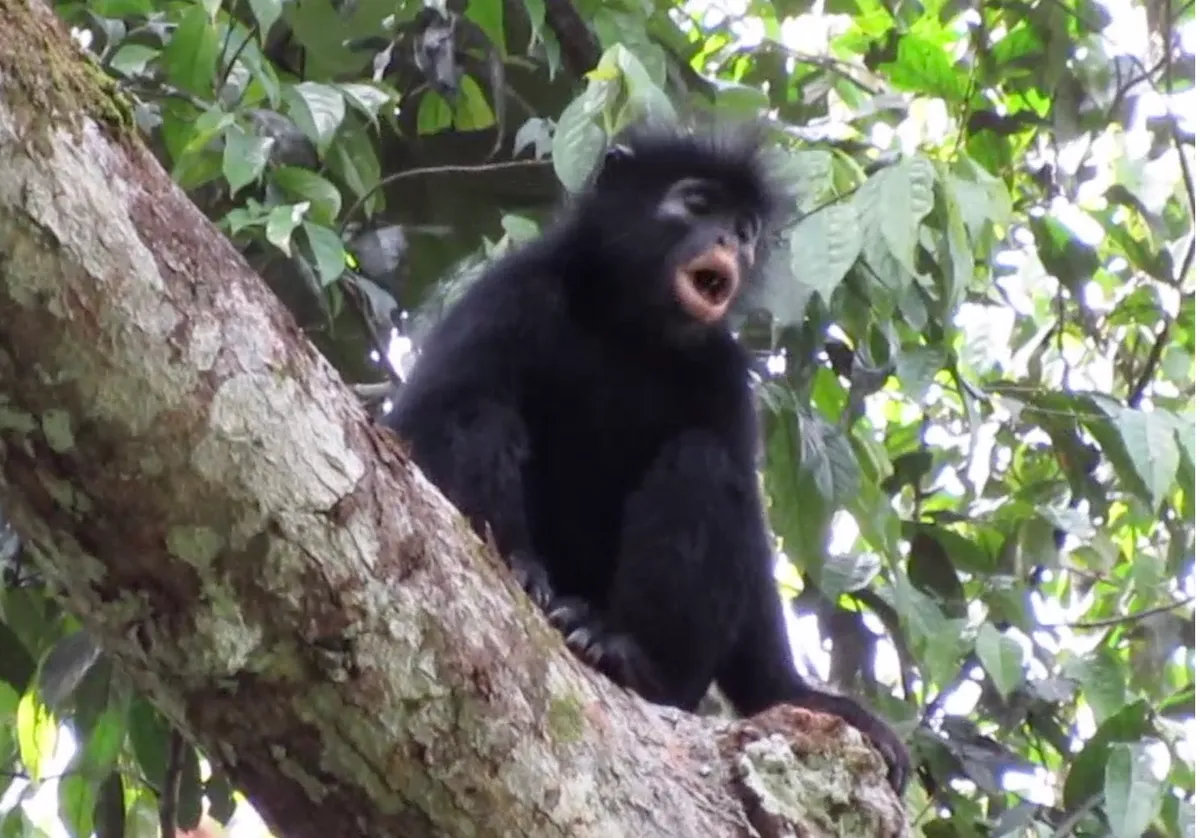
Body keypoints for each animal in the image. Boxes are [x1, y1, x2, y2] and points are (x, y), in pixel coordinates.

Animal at [383, 119, 911, 792]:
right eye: (697, 205)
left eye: (744, 230)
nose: (728, 242)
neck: (630, 329)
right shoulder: (512, 289)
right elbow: (425, 419)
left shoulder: (722, 372)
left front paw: (794, 692)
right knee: (477, 410)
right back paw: (521, 569)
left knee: (703, 463)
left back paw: (628, 656)